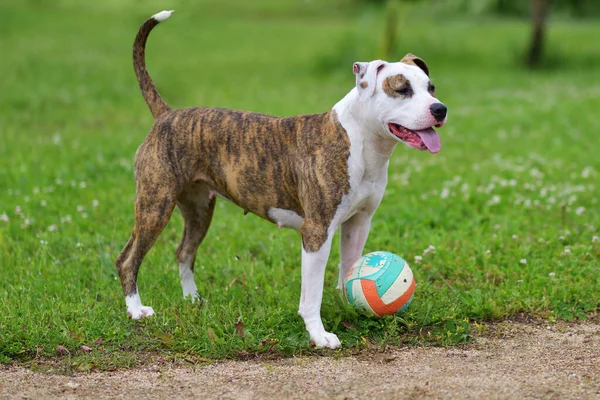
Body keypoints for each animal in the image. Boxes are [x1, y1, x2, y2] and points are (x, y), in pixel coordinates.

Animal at [116, 8, 446, 346]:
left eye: (431, 88)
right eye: (402, 89)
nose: (440, 109)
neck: (360, 140)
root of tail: (166, 114)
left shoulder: (358, 222)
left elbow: (349, 269)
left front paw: (349, 306)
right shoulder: (316, 232)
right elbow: (311, 294)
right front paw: (319, 335)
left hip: (199, 209)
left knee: (183, 252)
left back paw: (193, 300)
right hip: (155, 205)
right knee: (127, 259)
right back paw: (136, 310)